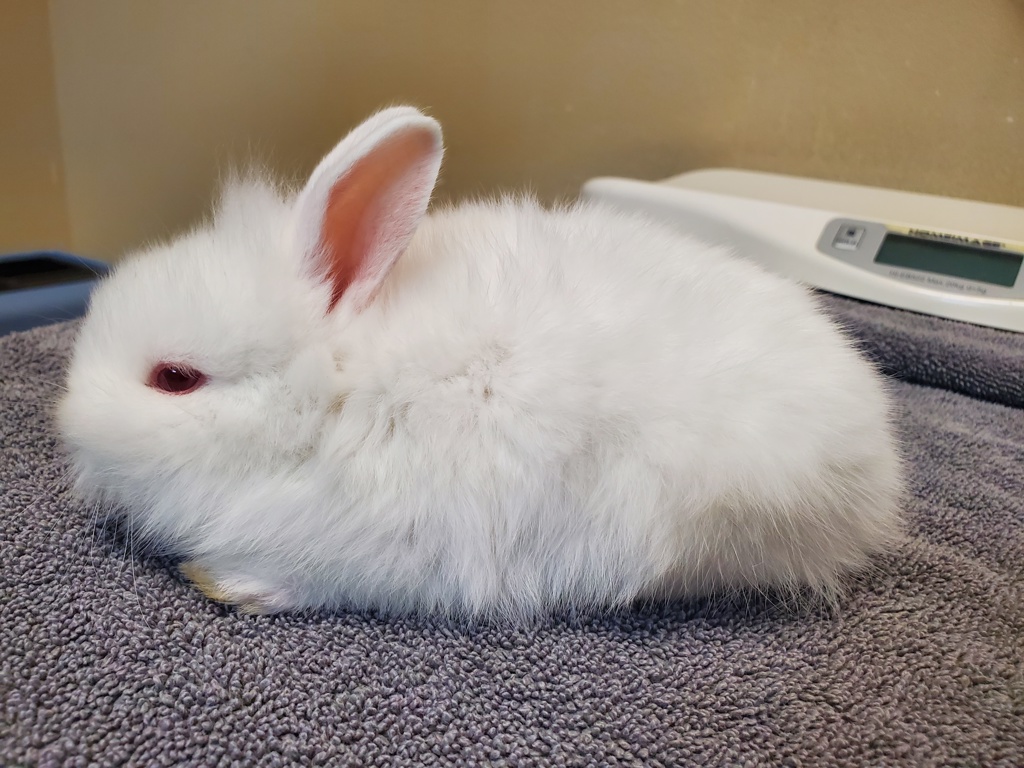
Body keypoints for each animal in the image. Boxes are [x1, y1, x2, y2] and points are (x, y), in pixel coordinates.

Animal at [57, 105, 903, 621]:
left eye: (174, 379)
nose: (66, 419)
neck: (337, 394)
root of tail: (878, 462)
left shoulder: (378, 543)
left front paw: (223, 583)